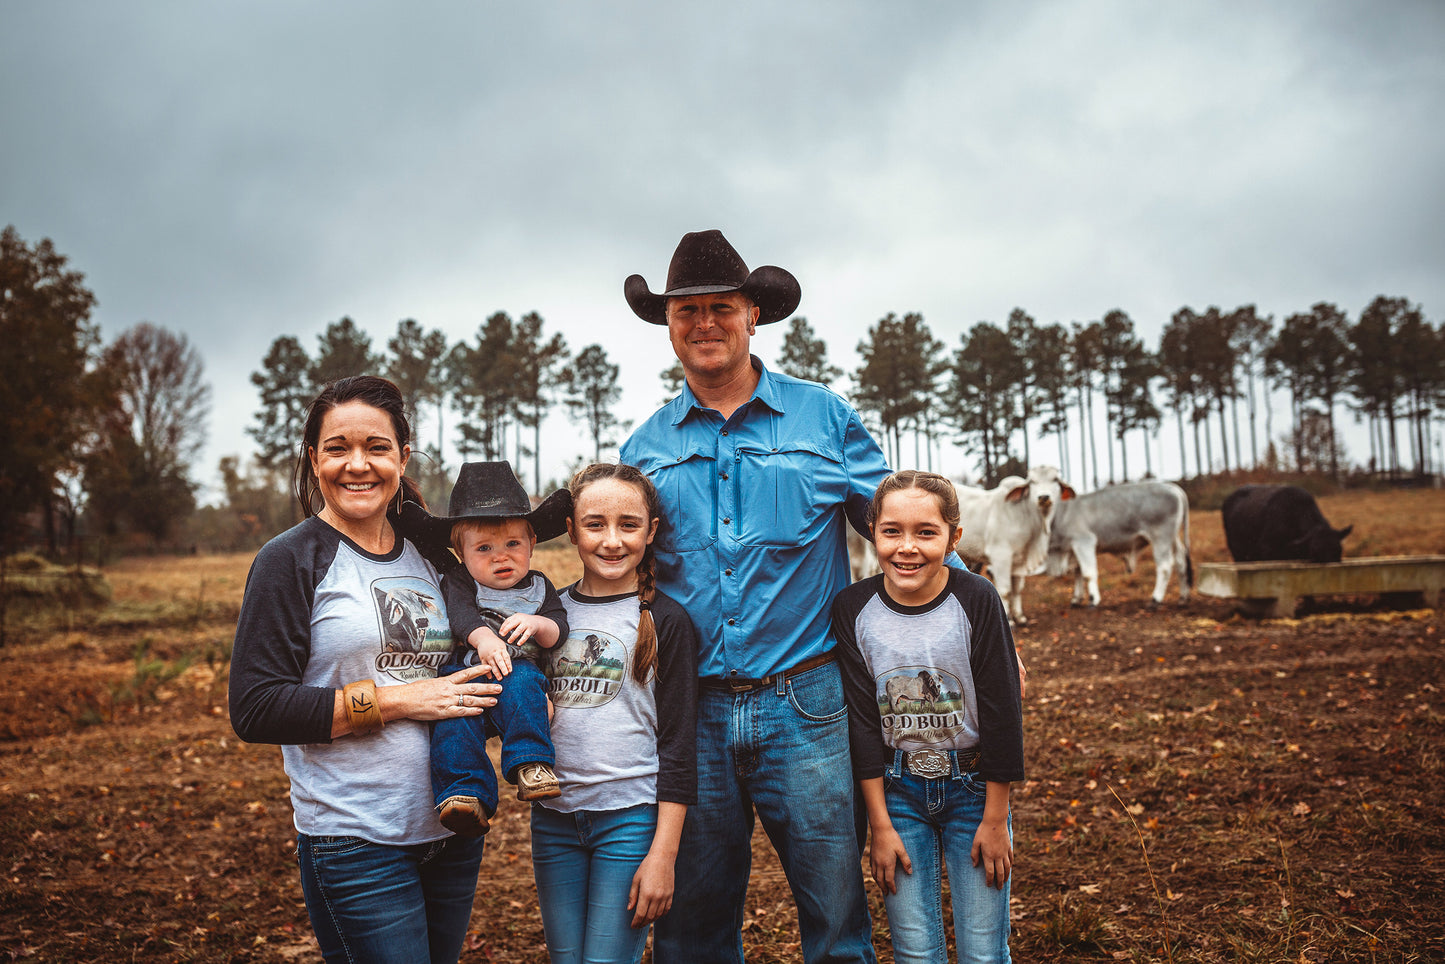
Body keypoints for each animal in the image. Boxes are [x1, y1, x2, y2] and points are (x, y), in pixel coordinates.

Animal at [959, 465, 1075, 627]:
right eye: (1032, 481)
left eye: (1055, 479)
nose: (1043, 497)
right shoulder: (1001, 556)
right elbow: (1005, 590)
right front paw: (1009, 619)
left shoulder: (1019, 560)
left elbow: (1017, 589)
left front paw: (1019, 617)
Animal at [1046, 479, 1190, 607]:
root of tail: (1173, 487)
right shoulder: (1072, 551)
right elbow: (1078, 572)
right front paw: (1076, 599)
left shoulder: (1084, 542)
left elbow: (1088, 573)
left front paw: (1093, 600)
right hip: (1172, 538)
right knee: (1181, 562)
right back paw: (1183, 598)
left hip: (1161, 538)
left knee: (1165, 566)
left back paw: (1155, 599)